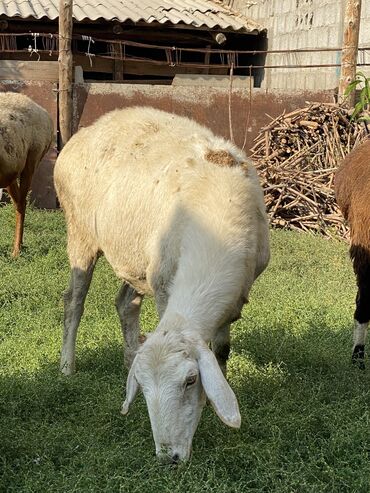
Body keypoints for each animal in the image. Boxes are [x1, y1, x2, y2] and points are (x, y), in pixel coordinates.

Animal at [53, 105, 270, 464]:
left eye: (191, 380)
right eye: (143, 389)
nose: (169, 457)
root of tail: (85, 131)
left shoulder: (237, 294)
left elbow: (221, 350)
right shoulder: (165, 287)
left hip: (139, 262)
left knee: (125, 304)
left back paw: (128, 356)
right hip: (81, 232)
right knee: (74, 301)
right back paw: (67, 366)